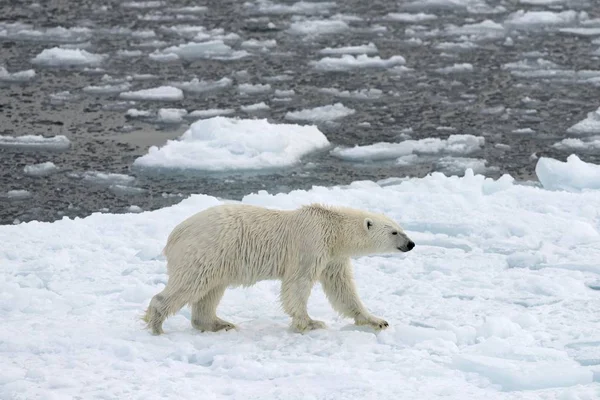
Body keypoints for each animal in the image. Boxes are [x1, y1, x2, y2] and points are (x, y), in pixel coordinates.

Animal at [143, 203, 414, 334]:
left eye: (401, 228)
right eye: (394, 232)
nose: (411, 244)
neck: (331, 226)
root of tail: (175, 234)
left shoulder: (333, 257)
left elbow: (342, 289)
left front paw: (376, 320)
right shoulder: (311, 244)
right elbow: (298, 284)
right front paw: (310, 323)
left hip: (218, 260)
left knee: (210, 292)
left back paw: (219, 324)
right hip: (206, 251)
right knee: (190, 285)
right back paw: (156, 325)